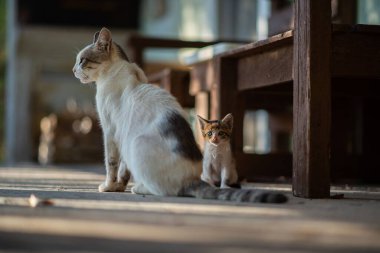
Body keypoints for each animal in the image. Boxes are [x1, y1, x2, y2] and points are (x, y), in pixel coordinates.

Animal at [71, 26, 286, 203]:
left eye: (82, 60)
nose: (73, 70)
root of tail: (191, 179)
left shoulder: (110, 133)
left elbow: (111, 164)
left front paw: (108, 187)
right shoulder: (120, 137)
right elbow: (123, 170)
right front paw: (117, 187)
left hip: (136, 143)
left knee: (165, 191)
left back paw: (139, 188)